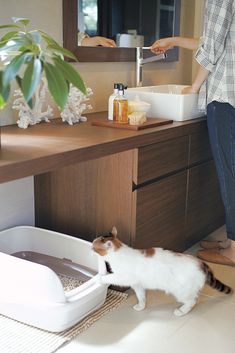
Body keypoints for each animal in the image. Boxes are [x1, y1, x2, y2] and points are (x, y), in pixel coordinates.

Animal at [92, 227, 232, 314]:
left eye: (94, 246)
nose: (90, 245)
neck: (119, 252)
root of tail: (201, 264)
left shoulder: (123, 277)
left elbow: (110, 277)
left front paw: (98, 278)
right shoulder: (138, 284)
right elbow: (141, 297)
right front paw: (141, 306)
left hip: (181, 291)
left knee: (192, 301)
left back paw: (181, 311)